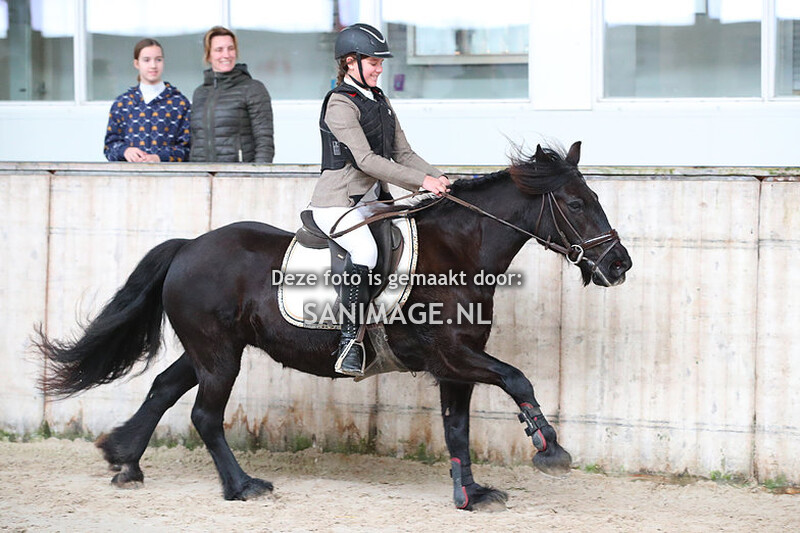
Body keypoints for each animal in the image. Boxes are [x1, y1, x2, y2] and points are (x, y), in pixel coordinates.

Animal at [35, 141, 631, 511]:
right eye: (577, 203)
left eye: (594, 198)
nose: (620, 265)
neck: (457, 253)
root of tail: (189, 246)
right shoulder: (454, 356)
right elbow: (517, 378)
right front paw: (550, 449)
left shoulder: (455, 366)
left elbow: (457, 428)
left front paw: (471, 495)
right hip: (220, 355)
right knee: (205, 415)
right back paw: (242, 486)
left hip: (210, 349)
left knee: (163, 388)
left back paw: (124, 460)